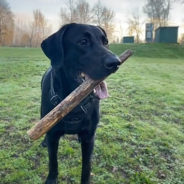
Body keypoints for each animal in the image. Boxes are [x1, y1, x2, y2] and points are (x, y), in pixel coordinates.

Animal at [40, 23, 120, 184]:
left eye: (105, 42)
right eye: (83, 42)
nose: (116, 62)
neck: (73, 102)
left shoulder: (89, 138)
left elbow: (86, 167)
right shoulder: (53, 136)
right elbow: (53, 162)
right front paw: (51, 179)